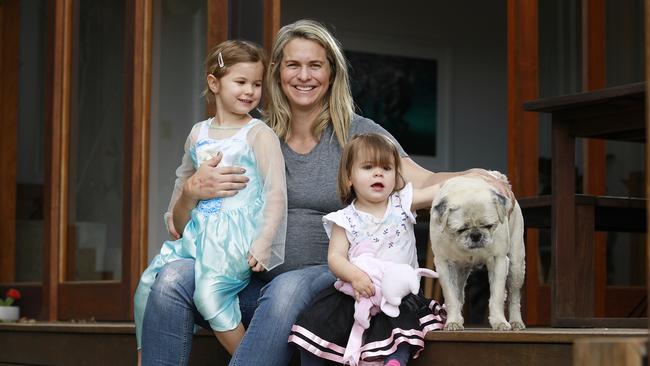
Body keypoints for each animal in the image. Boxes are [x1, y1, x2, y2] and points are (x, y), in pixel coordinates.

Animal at [428, 172, 524, 332]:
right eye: (460, 229)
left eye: (489, 226)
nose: (476, 235)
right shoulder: (444, 264)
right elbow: (451, 296)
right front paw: (453, 321)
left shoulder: (498, 260)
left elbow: (497, 296)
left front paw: (499, 321)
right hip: (460, 271)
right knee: (459, 294)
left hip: (516, 266)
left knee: (514, 295)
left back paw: (516, 321)